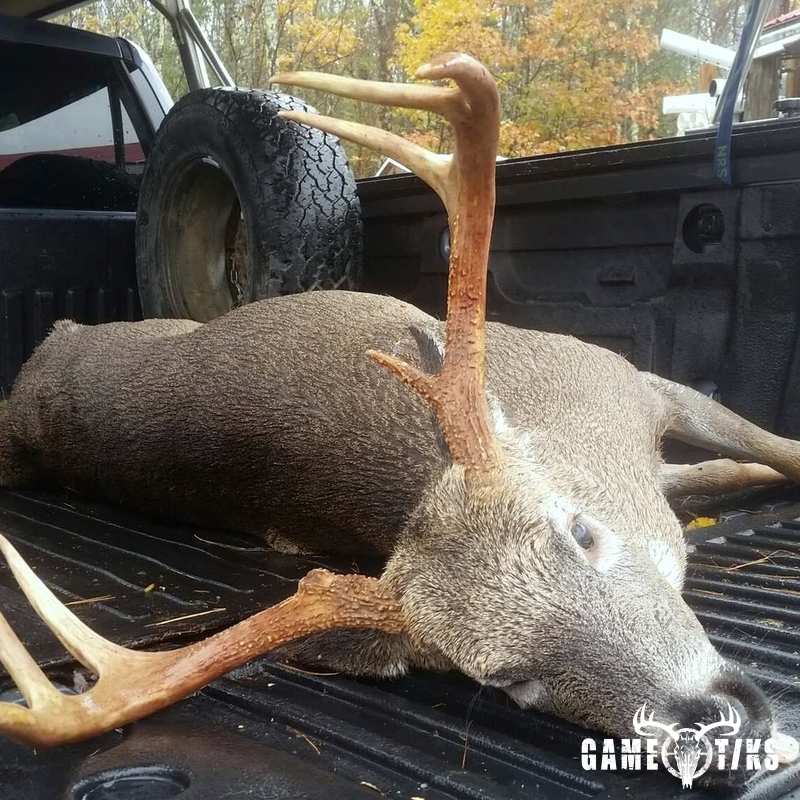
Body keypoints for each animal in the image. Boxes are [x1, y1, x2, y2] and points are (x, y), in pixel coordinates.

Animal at [0, 53, 798, 787]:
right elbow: (735, 464)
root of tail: (50, 347)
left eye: (582, 532)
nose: (716, 725)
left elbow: (764, 449)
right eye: (508, 680)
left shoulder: (629, 378)